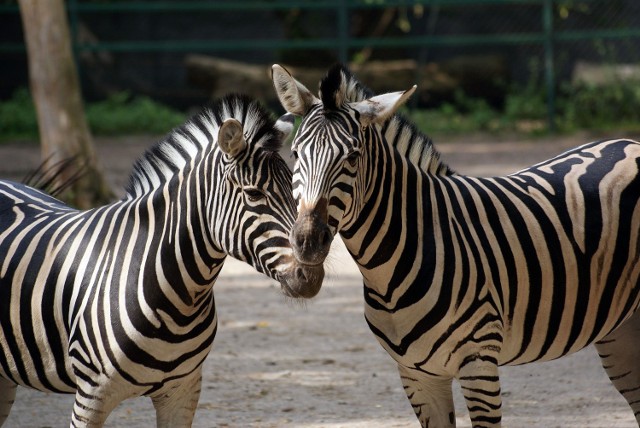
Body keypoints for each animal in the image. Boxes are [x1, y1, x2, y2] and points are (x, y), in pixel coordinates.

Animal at [0, 94, 322, 428]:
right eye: (254, 194)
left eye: (294, 193)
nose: (312, 274)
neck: (181, 300)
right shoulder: (91, 395)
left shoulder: (183, 392)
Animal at [272, 64, 640, 428]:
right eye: (295, 154)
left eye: (352, 157)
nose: (307, 241)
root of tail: (627, 142)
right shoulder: (417, 376)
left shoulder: (479, 364)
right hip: (620, 329)